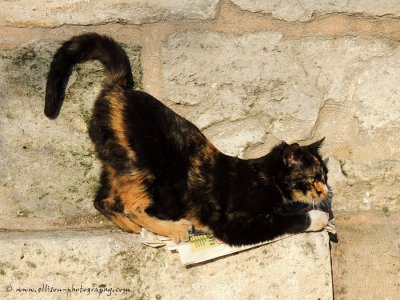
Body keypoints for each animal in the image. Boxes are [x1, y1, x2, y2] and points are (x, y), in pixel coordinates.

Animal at [45, 33, 330, 246]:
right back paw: (172, 228)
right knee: (132, 206)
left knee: (102, 199)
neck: (265, 177)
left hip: (115, 163)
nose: (326, 190)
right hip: (141, 163)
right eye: (313, 177)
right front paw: (318, 217)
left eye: (324, 176)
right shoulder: (233, 224)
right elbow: (284, 219)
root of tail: (119, 87)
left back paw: (134, 229)